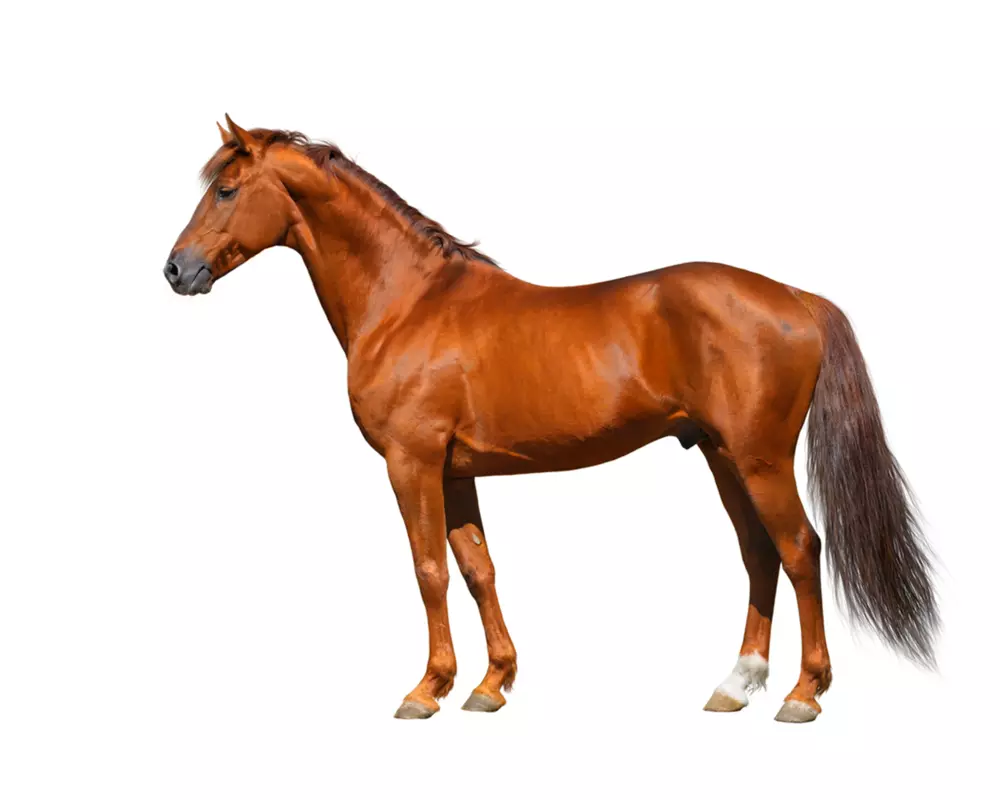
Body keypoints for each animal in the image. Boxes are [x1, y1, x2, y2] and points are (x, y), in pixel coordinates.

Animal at [163, 115, 938, 723]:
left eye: (226, 190)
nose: (176, 270)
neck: (408, 301)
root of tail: (797, 297)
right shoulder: (456, 472)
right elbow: (477, 568)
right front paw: (490, 684)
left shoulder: (412, 462)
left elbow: (428, 570)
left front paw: (426, 689)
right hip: (724, 457)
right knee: (759, 553)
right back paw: (735, 685)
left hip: (760, 459)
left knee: (801, 549)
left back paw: (803, 695)